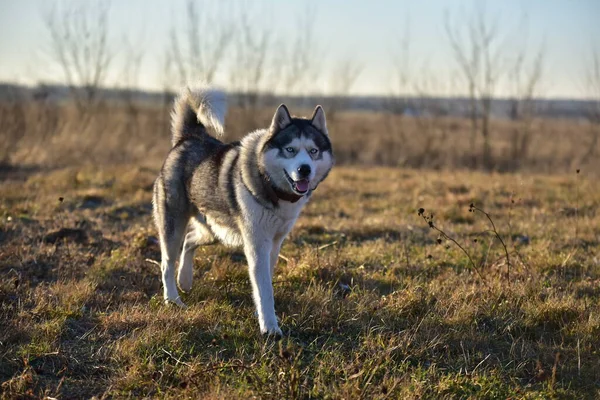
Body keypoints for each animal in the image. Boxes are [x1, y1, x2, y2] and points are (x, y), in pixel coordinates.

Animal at [151, 86, 332, 334]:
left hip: (215, 231)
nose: (304, 169)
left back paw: (185, 280)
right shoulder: (257, 243)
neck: (271, 186)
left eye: (314, 151)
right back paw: (173, 299)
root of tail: (189, 137)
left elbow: (265, 281)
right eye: (290, 150)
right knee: (167, 263)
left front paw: (261, 315)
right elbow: (264, 287)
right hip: (173, 225)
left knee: (189, 241)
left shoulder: (275, 242)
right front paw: (270, 327)